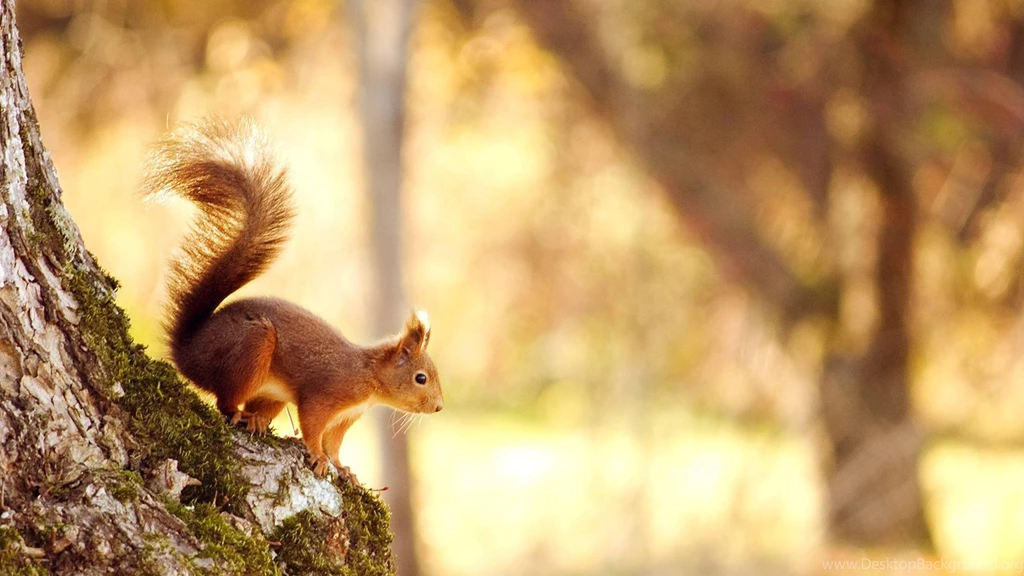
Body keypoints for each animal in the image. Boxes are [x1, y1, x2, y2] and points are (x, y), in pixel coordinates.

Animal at [144, 118, 443, 478]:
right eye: (420, 378)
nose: (439, 407)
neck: (368, 377)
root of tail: (187, 351)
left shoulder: (345, 417)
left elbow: (335, 443)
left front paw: (343, 468)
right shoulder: (325, 395)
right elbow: (313, 427)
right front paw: (317, 456)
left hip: (272, 392)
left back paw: (257, 420)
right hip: (251, 348)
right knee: (224, 401)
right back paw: (241, 414)